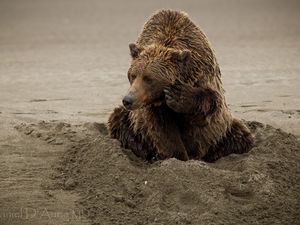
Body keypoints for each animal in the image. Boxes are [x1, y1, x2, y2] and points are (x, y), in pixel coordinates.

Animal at [108, 9, 253, 162]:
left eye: (149, 79)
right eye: (133, 75)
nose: (128, 100)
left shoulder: (203, 72)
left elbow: (211, 103)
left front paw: (179, 96)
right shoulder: (153, 107)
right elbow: (162, 129)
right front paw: (178, 156)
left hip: (223, 131)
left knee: (240, 136)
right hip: (131, 123)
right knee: (118, 120)